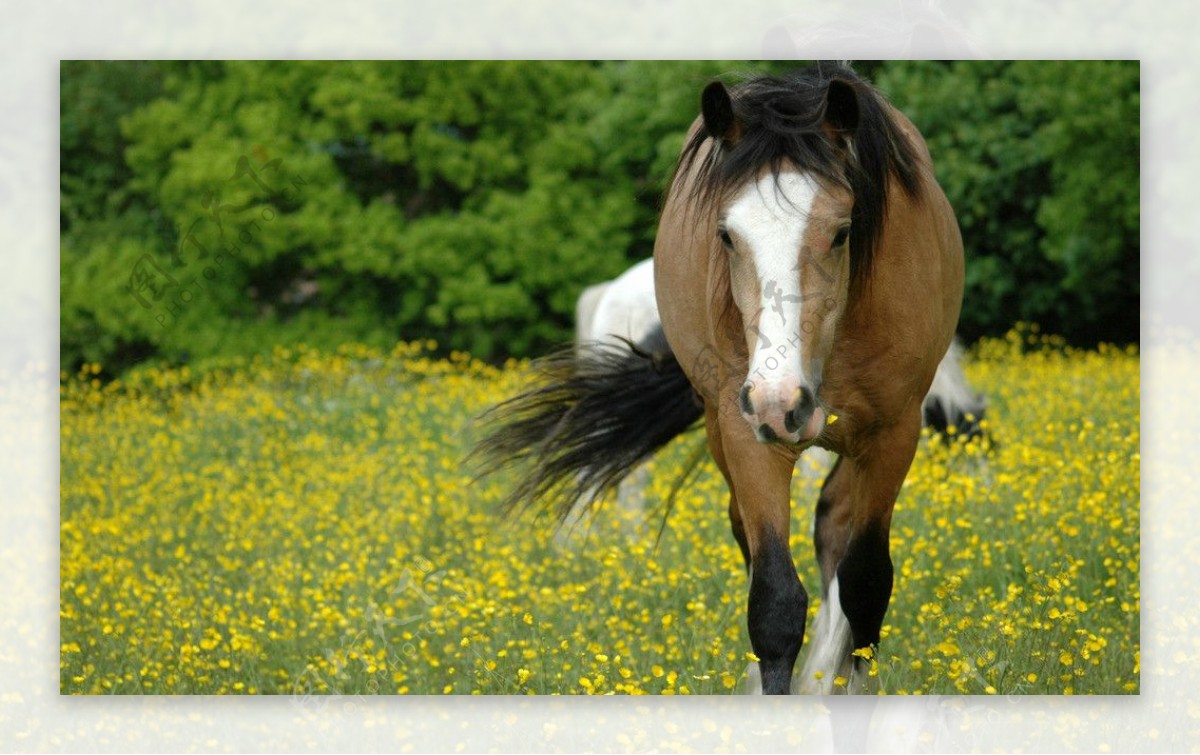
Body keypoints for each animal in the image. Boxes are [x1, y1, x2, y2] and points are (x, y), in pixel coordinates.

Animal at [472, 64, 960, 696]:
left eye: (841, 232)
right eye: (726, 235)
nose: (782, 402)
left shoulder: (893, 434)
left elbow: (865, 585)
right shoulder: (748, 431)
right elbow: (774, 601)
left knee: (834, 532)